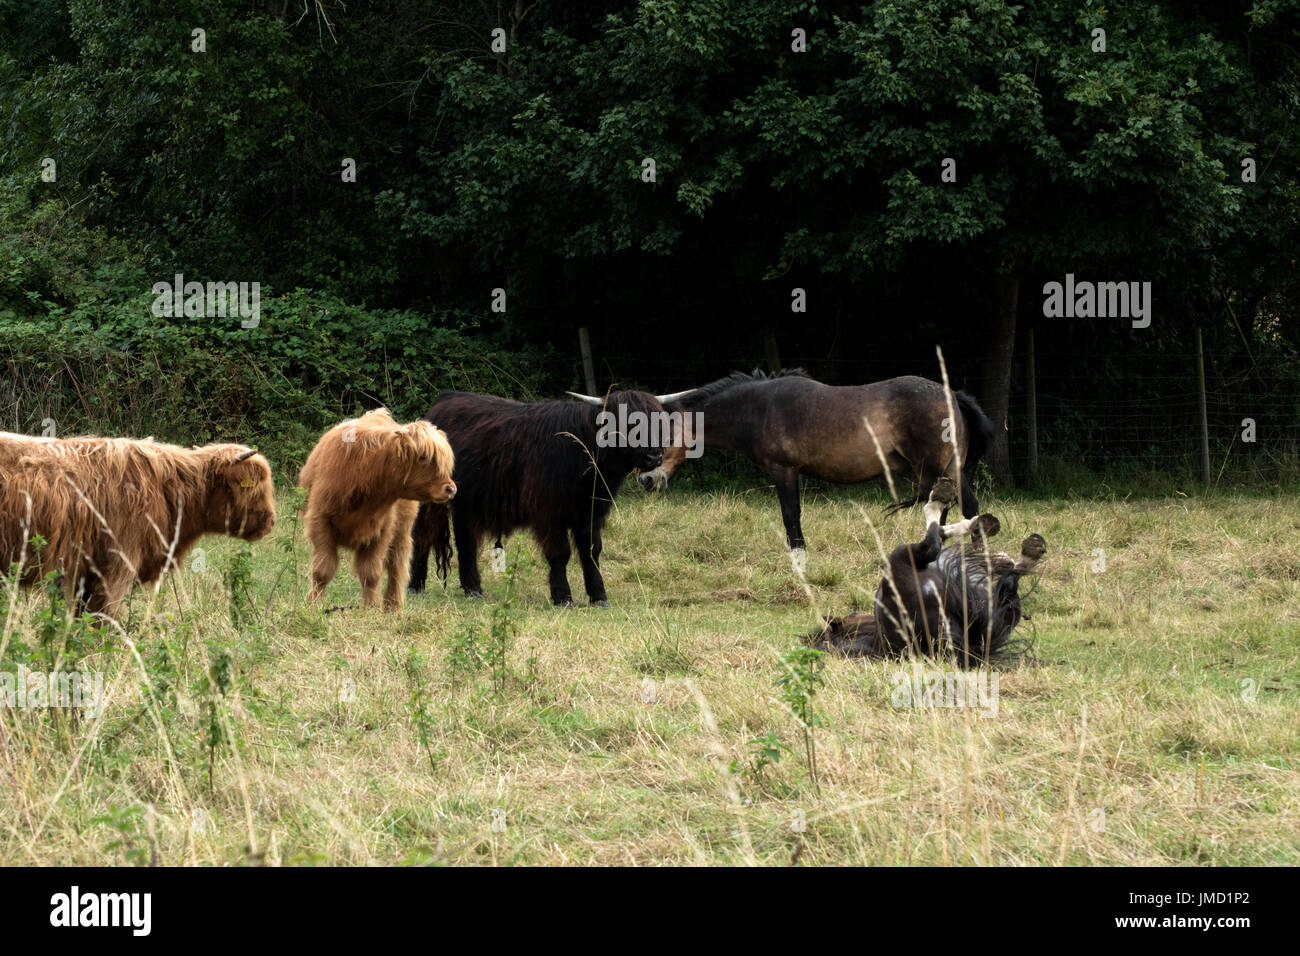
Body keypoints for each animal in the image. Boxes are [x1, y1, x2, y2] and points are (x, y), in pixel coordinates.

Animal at [569, 374, 993, 554]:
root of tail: (952, 394)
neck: (760, 407)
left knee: (953, 508)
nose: (646, 479)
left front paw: (798, 557)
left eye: (664, 431)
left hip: (938, 469)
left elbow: (791, 515)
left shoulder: (784, 470)